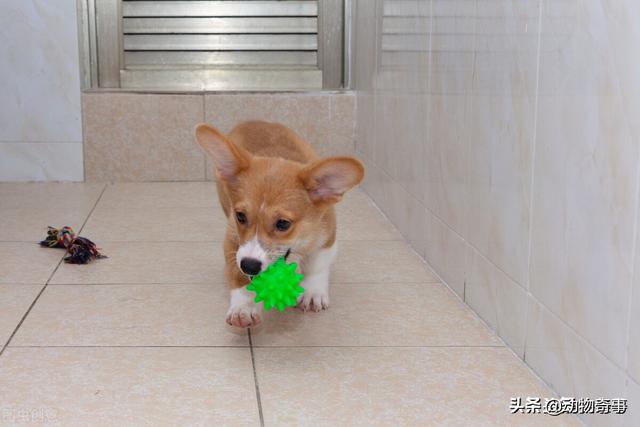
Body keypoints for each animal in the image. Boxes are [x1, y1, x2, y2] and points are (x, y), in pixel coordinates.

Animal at [194, 122, 364, 330]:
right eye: (240, 216)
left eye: (283, 223)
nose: (249, 266)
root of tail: (252, 120)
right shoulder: (232, 240)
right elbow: (239, 277)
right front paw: (243, 308)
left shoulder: (327, 238)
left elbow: (316, 266)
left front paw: (313, 293)